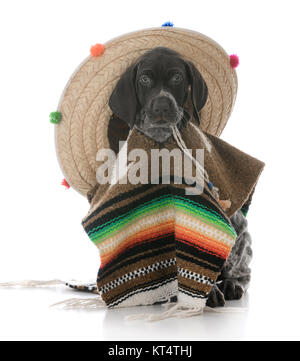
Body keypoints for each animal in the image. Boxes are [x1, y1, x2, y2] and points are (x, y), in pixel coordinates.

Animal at [107, 47, 251, 306]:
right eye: (144, 79)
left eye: (177, 77)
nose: (162, 107)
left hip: (240, 233)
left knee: (242, 269)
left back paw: (232, 284)